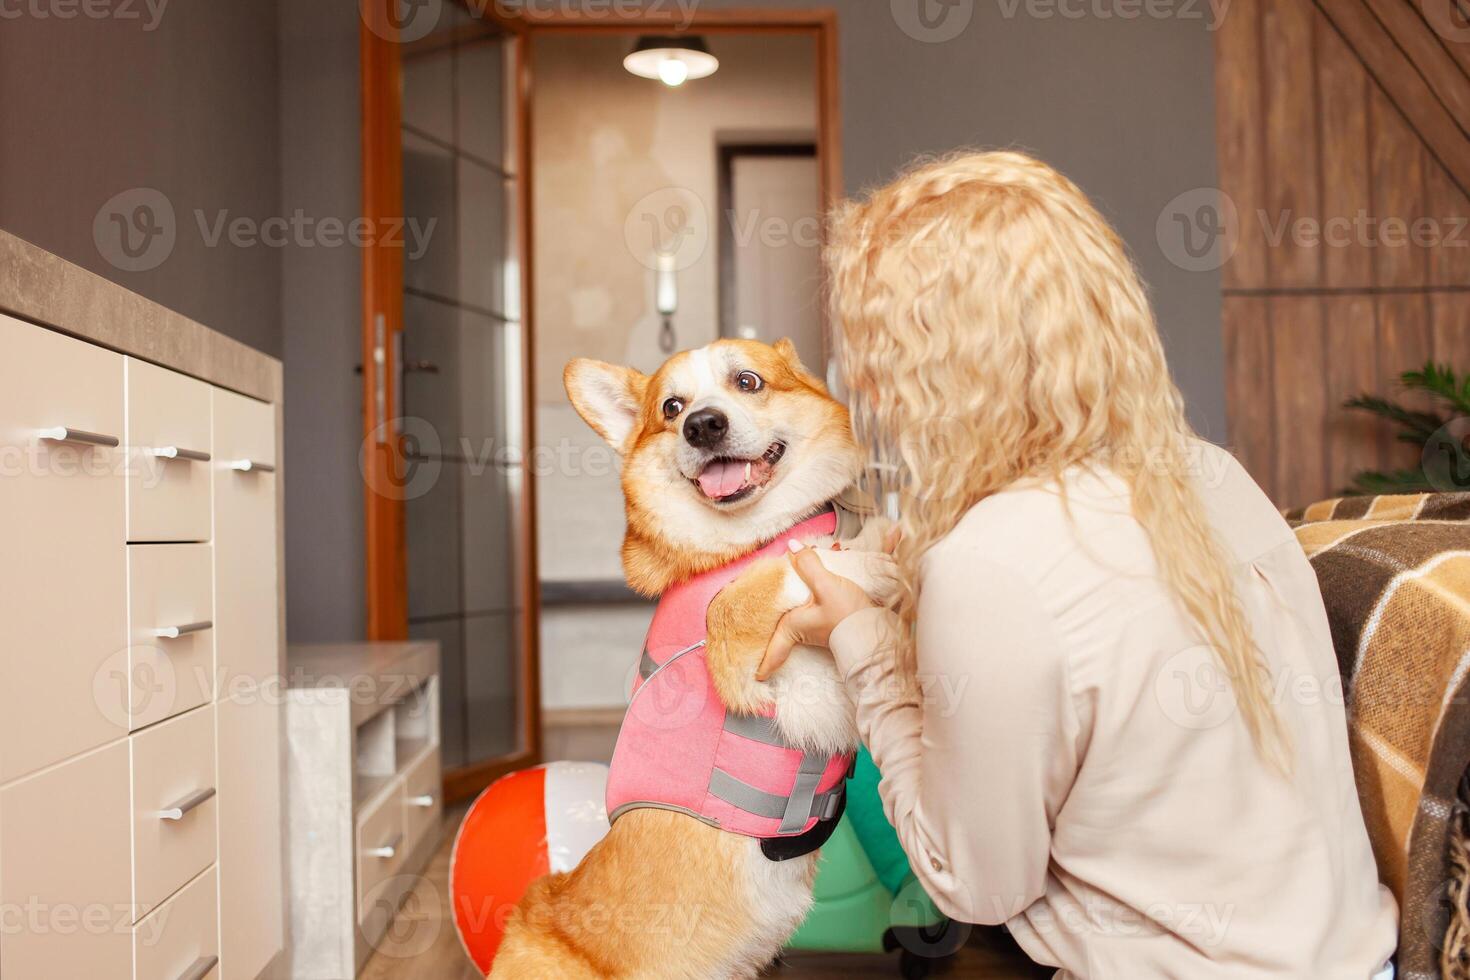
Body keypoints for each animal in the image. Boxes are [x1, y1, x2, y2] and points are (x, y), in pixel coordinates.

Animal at [496, 339, 893, 980]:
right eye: (672, 406)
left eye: (748, 381)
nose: (703, 425)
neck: (745, 540)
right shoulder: (758, 662)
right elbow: (756, 588)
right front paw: (866, 559)